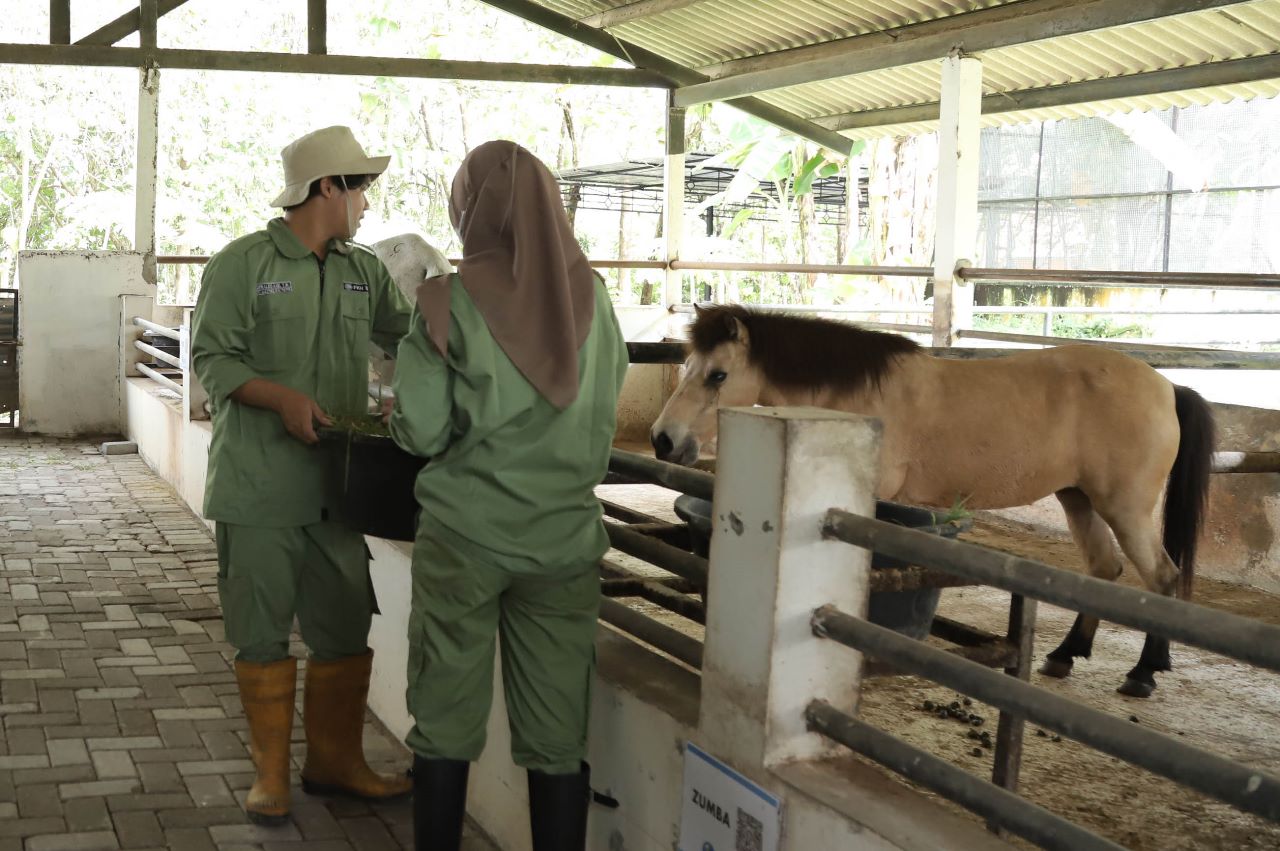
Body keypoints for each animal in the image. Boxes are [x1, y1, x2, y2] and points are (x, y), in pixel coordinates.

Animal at [655, 305, 1213, 696]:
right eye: (686, 365)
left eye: (718, 375)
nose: (664, 439)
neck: (855, 400)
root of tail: (1167, 386)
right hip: (1079, 499)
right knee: (1105, 571)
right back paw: (1066, 655)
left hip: (1126, 508)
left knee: (1161, 578)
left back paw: (1143, 672)